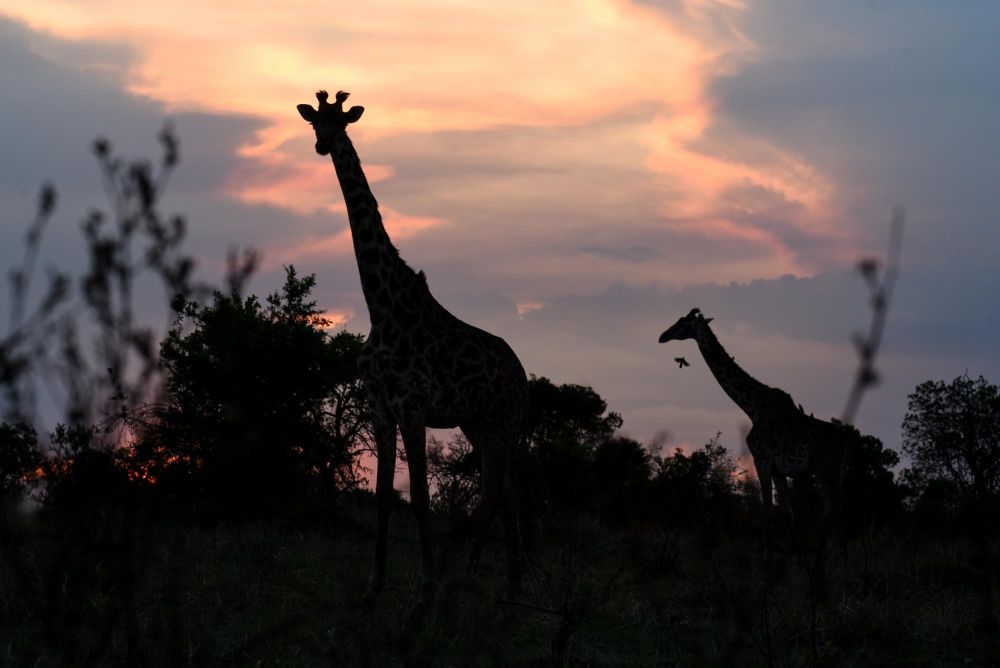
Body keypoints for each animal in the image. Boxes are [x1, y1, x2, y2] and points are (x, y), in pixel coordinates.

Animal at [296, 91, 529, 606]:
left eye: (342, 122)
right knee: (505, 491)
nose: (323, 145)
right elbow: (385, 498)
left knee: (494, 492)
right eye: (315, 122)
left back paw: (474, 576)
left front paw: (427, 584)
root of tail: (522, 373)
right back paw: (511, 587)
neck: (382, 308)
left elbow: (420, 497)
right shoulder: (380, 405)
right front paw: (374, 584)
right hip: (476, 420)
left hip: (503, 419)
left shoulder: (414, 403)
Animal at [658, 308, 854, 539]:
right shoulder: (778, 469)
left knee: (837, 514)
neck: (752, 406)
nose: (662, 336)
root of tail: (847, 444)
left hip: (826, 470)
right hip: (837, 473)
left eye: (683, 323)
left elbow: (767, 510)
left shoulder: (761, 459)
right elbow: (788, 513)